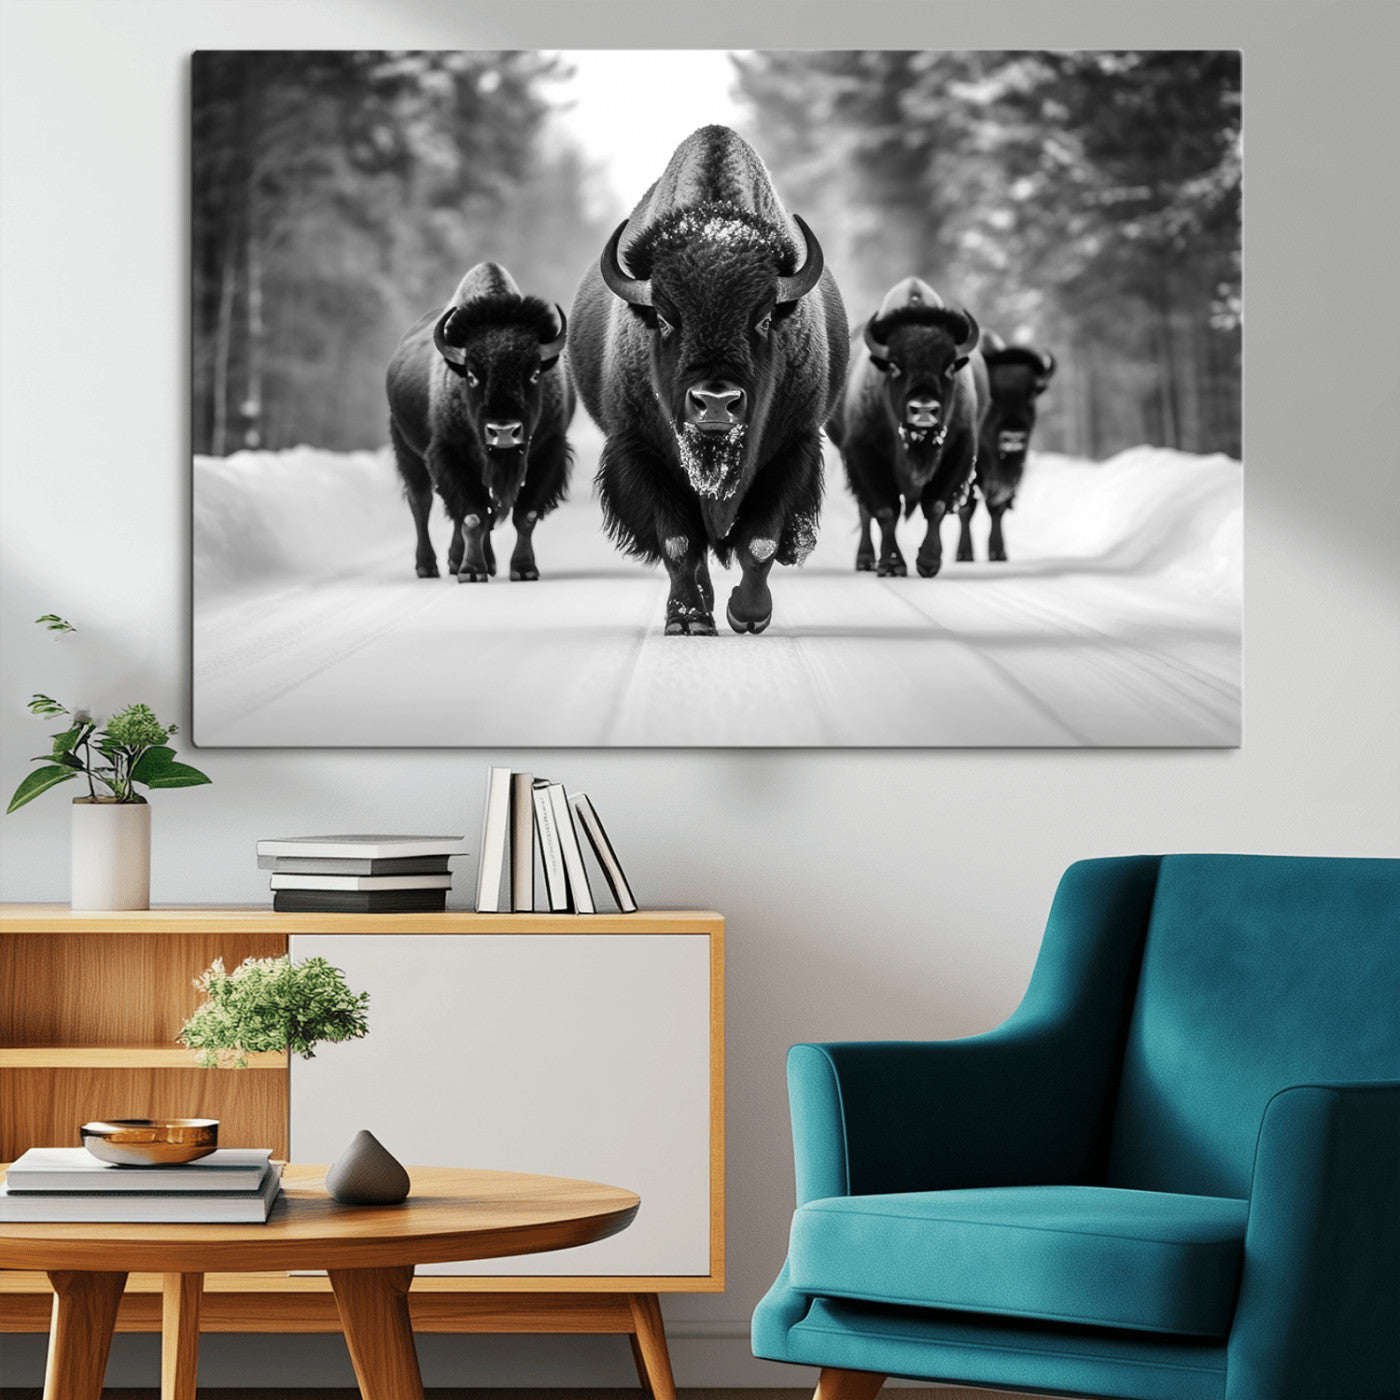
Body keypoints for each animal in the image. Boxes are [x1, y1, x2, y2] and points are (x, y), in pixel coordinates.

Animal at [386, 262, 573, 583]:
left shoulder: (546, 453)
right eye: (472, 376)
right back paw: (428, 566)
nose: (504, 431)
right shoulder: (449, 455)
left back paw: (470, 561)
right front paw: (471, 571)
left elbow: (524, 516)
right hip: (409, 454)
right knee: (421, 504)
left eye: (535, 373)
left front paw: (523, 569)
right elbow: (472, 516)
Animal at [569, 124, 848, 635]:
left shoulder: (794, 446)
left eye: (764, 318)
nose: (716, 402)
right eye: (663, 318)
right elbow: (678, 542)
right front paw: (688, 620)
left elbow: (760, 542)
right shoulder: (639, 449)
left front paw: (749, 615)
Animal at [829, 277, 986, 578]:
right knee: (865, 510)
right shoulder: (864, 453)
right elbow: (885, 511)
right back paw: (866, 559)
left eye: (950, 367)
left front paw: (928, 561)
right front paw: (892, 564)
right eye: (895, 366)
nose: (923, 409)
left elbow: (935, 506)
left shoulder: (958, 451)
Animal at [957, 331, 1056, 562]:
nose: (1013, 436)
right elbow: (967, 508)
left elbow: (997, 508)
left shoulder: (1014, 471)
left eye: (1031, 393)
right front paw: (964, 554)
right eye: (993, 396)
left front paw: (998, 553)